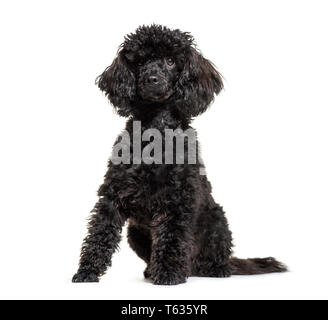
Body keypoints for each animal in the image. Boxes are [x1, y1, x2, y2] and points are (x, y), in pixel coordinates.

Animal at [72, 25, 288, 284]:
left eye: (171, 60)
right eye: (140, 61)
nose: (152, 79)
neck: (156, 131)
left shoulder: (178, 199)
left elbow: (172, 238)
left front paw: (168, 274)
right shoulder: (114, 193)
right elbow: (100, 233)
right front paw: (87, 271)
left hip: (217, 222)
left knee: (211, 258)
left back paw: (213, 269)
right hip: (135, 233)